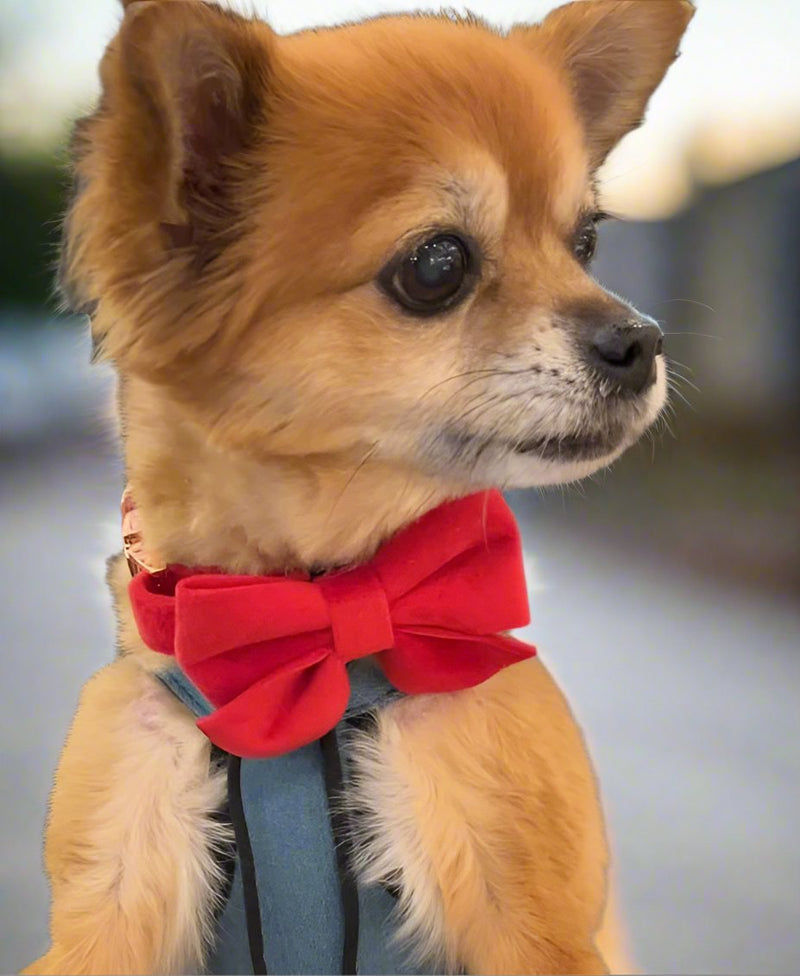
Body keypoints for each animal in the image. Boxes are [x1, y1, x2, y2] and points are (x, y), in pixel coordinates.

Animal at [26, 3, 692, 972]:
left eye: (586, 243)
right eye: (437, 265)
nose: (641, 340)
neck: (315, 623)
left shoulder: (540, 928)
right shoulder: (110, 906)